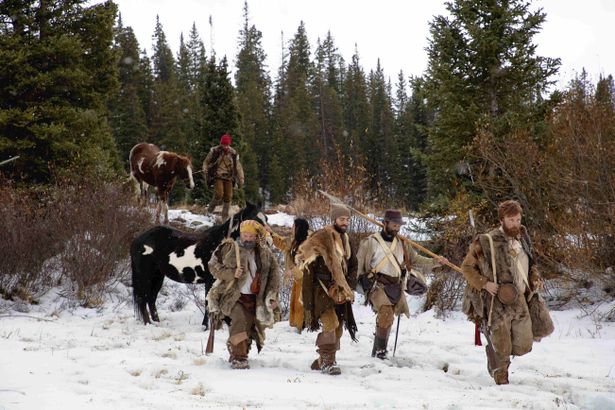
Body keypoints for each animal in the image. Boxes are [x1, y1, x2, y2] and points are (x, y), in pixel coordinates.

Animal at [131, 203, 268, 330]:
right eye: (253, 219)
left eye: (266, 218)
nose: (266, 241)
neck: (220, 244)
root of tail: (139, 239)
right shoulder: (210, 281)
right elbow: (208, 304)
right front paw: (206, 327)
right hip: (145, 277)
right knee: (143, 299)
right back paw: (148, 324)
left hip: (158, 276)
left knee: (151, 299)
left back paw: (157, 323)